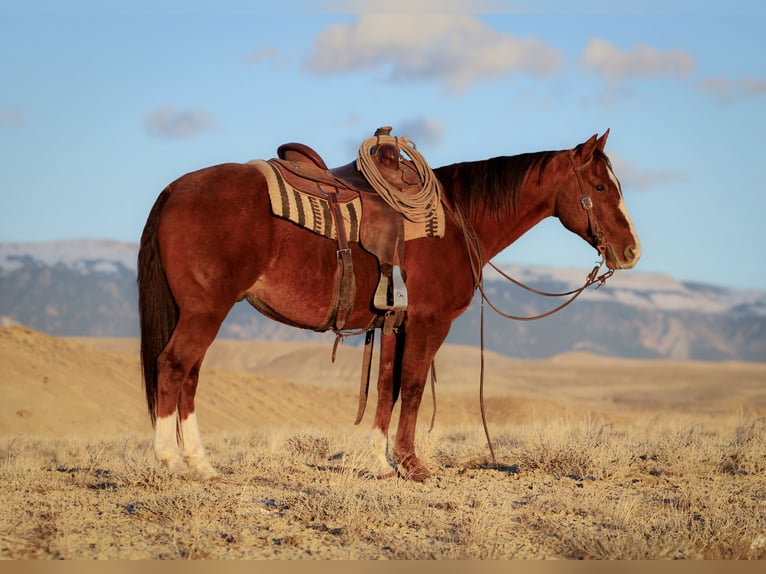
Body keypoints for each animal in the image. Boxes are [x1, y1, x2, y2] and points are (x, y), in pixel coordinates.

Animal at [138, 130, 641, 481]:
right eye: (599, 186)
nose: (632, 251)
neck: (457, 219)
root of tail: (175, 189)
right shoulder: (429, 321)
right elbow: (413, 387)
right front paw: (411, 464)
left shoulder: (394, 322)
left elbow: (387, 387)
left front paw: (380, 461)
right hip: (206, 310)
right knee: (173, 365)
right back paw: (170, 459)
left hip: (200, 311)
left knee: (189, 374)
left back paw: (201, 463)